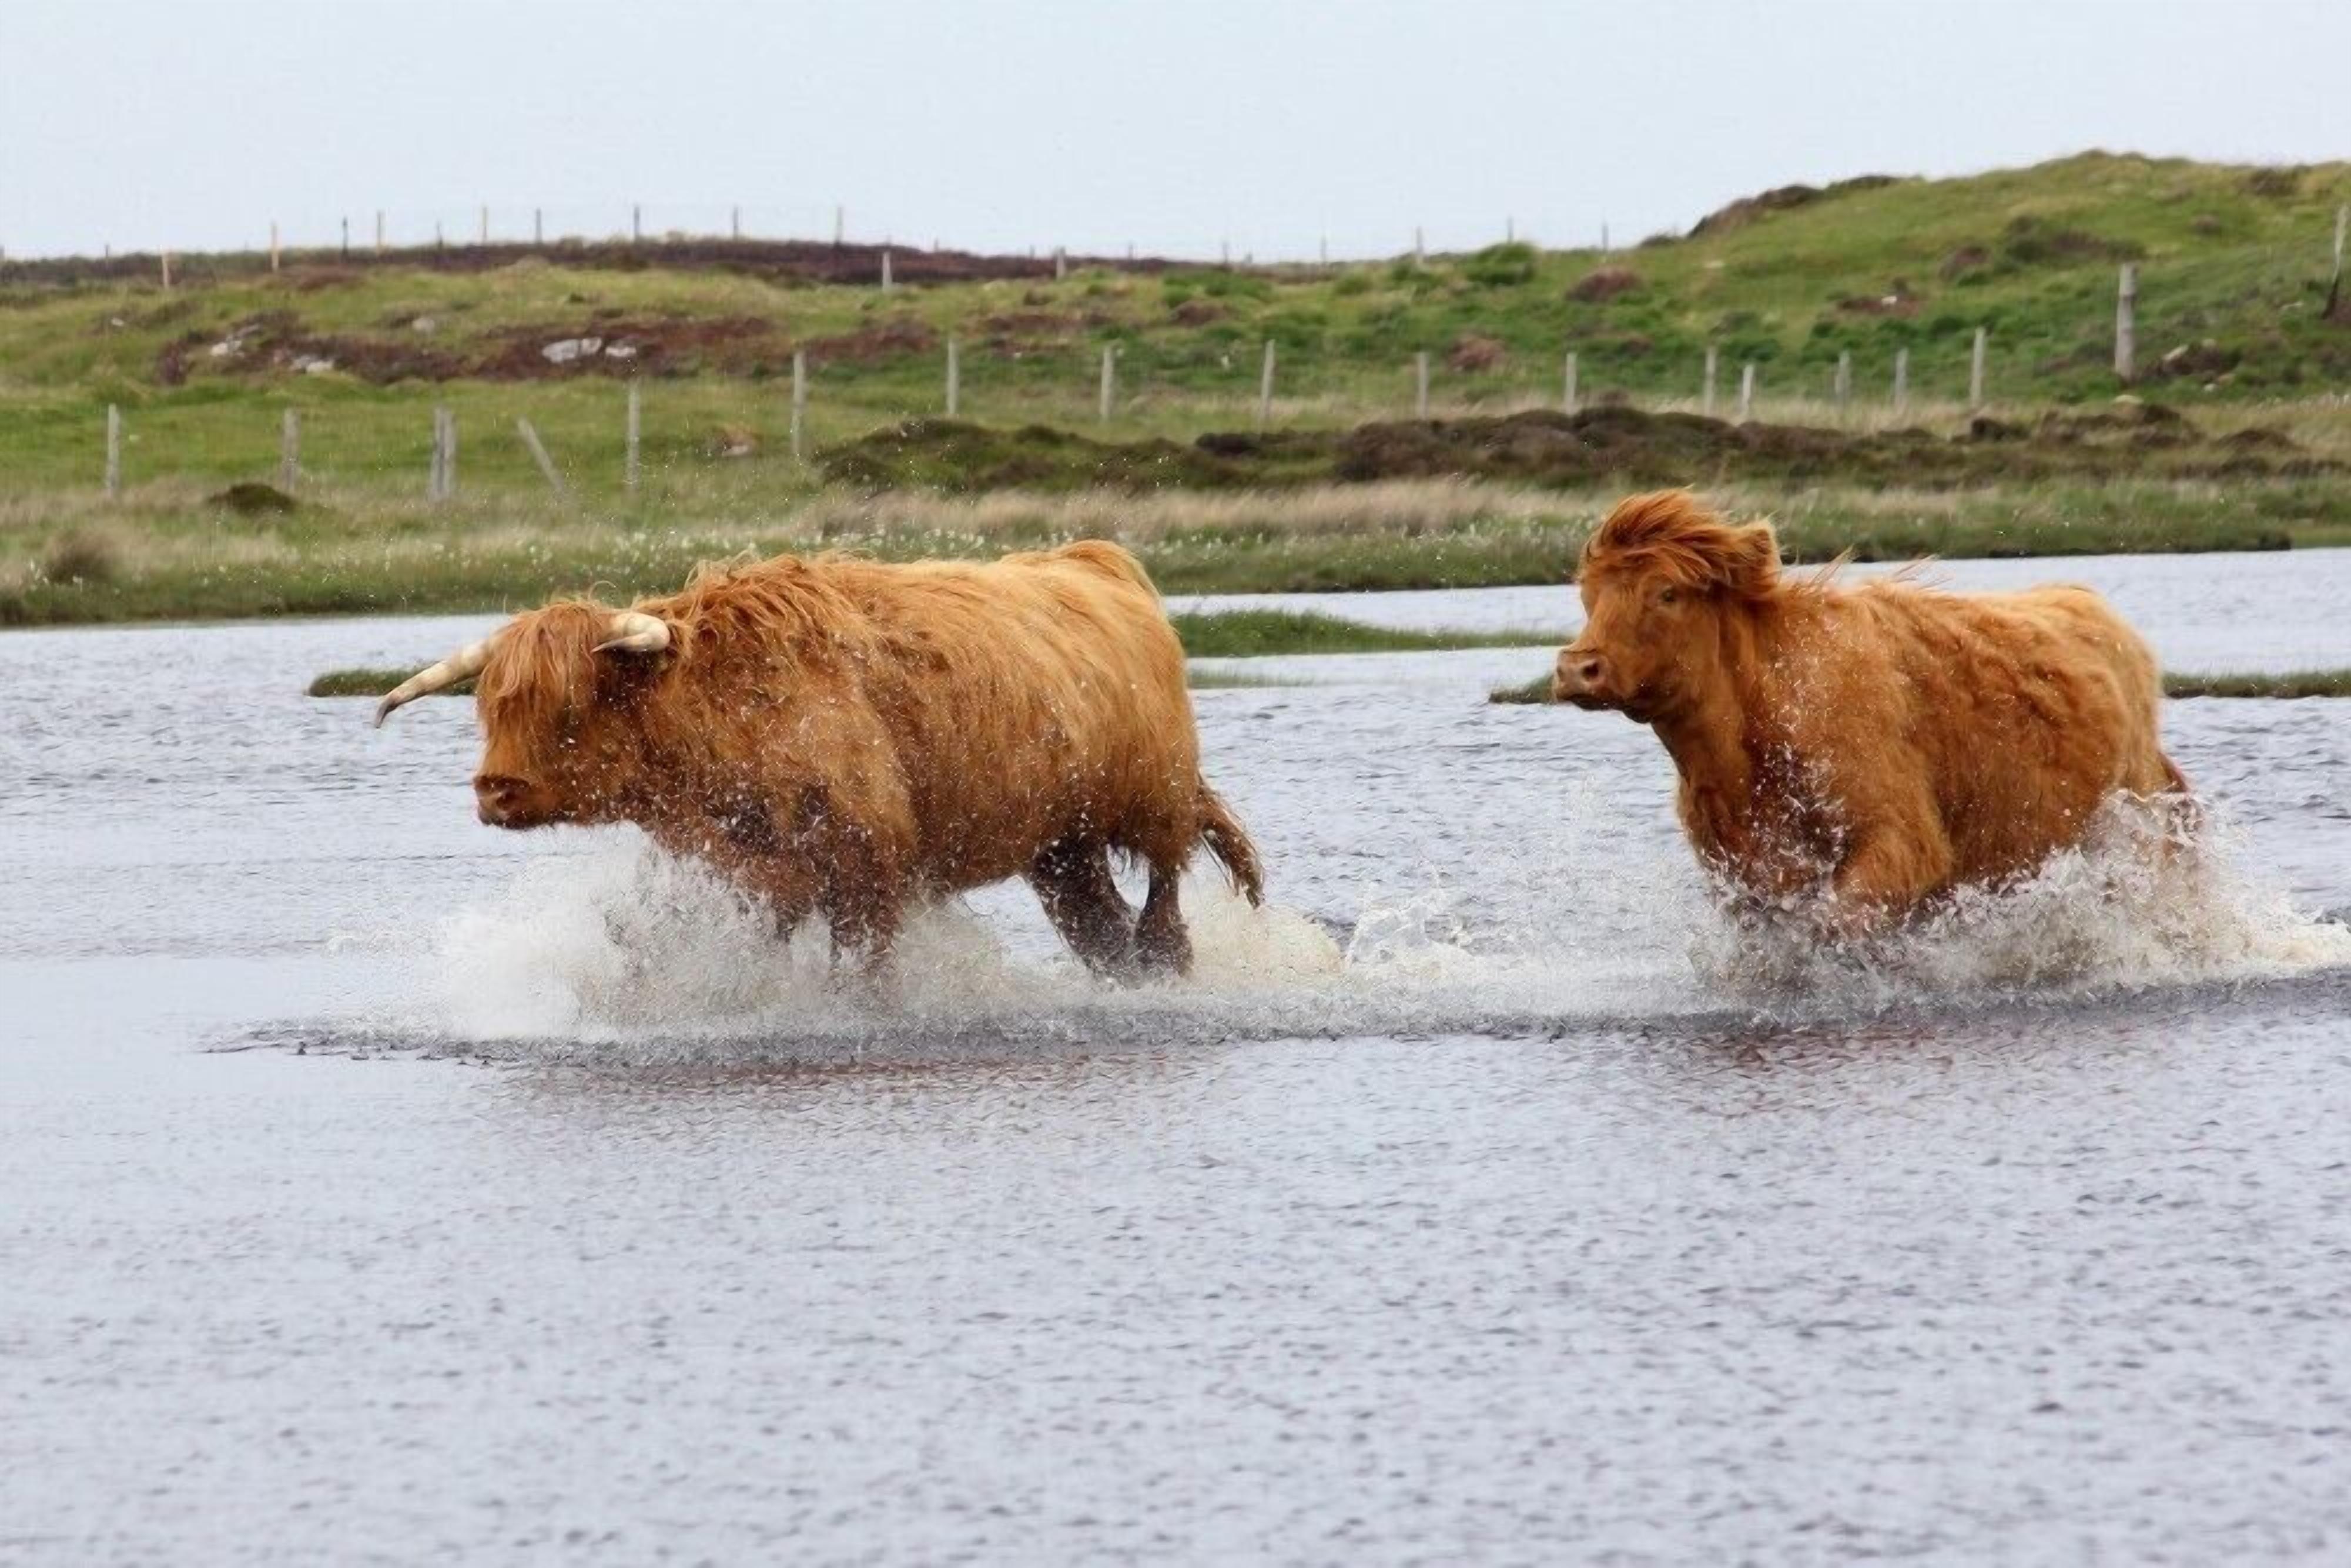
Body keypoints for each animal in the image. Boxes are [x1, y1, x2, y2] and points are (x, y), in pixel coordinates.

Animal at [374, 541, 1264, 977]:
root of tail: (1095, 559)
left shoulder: (863, 862)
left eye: (568, 709)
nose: (496, 790)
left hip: (1152, 798)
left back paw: (1167, 966)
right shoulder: (738, 862)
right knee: (1092, 919)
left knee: (1163, 889)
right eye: (491, 709)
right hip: (1057, 841)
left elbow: (861, 960)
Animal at [1550, 490, 2191, 936]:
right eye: (1588, 595)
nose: (1579, 667)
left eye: (1667, 593)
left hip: (2135, 824)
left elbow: (1838, 921)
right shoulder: (1744, 870)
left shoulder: (1899, 834)